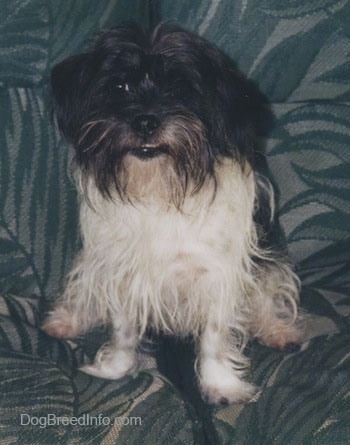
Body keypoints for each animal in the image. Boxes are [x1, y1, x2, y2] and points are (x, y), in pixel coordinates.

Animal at [42, 22, 302, 404]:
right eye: (119, 86)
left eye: (181, 88)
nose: (145, 122)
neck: (160, 189)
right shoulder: (123, 269)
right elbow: (123, 330)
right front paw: (114, 369)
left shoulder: (217, 273)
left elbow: (213, 337)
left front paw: (221, 385)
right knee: (84, 291)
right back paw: (67, 319)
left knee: (269, 294)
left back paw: (278, 329)